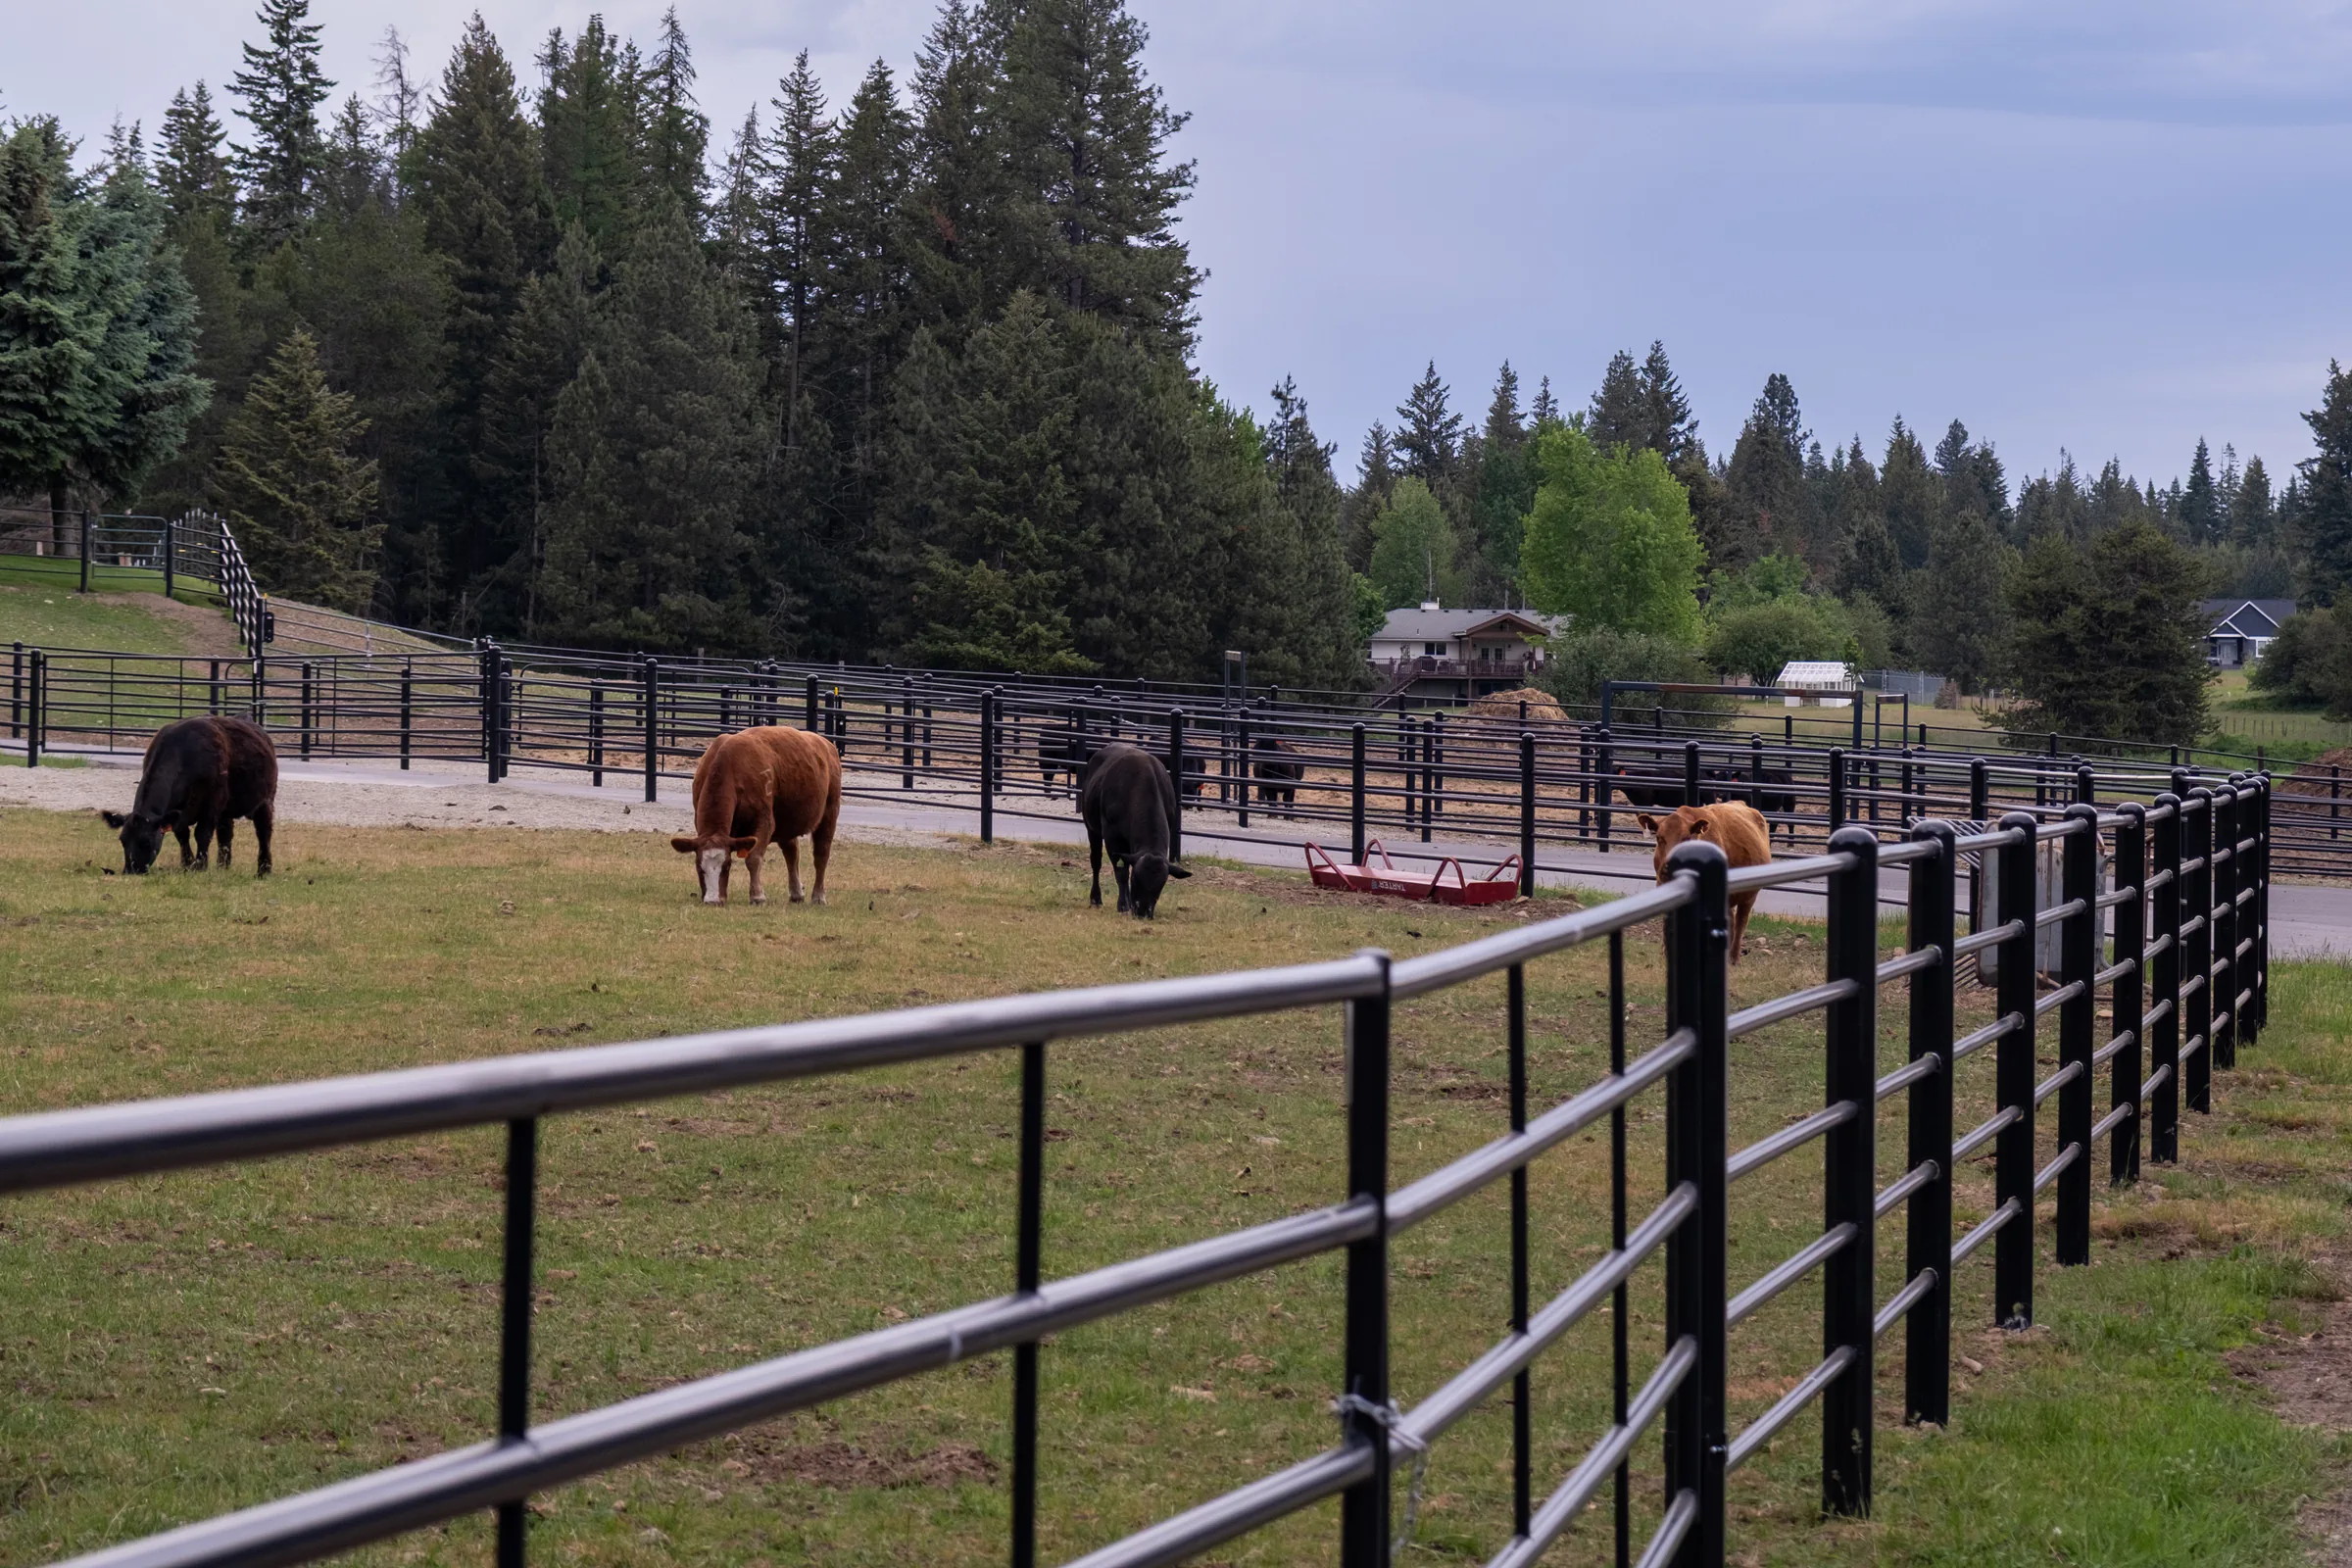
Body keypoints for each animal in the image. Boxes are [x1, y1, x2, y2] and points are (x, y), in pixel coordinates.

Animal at [101, 716, 278, 877]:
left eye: (146, 842)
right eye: (123, 840)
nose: (130, 871)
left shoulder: (211, 805)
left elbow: (202, 834)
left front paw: (200, 866)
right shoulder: (177, 812)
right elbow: (182, 834)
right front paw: (187, 864)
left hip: (265, 801)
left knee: (264, 833)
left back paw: (264, 870)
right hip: (226, 810)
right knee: (225, 834)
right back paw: (222, 867)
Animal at [671, 725, 842, 907]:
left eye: (727, 865)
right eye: (698, 867)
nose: (713, 901)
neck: (730, 766)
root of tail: (826, 744)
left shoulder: (764, 823)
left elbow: (753, 859)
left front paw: (757, 896)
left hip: (830, 813)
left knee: (821, 855)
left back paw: (818, 896)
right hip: (787, 821)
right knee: (791, 853)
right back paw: (796, 893)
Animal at [1079, 742, 1192, 919]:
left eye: (1161, 886)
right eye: (1136, 879)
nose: (1143, 912)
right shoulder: (1113, 837)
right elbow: (1121, 872)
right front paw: (1123, 906)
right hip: (1092, 828)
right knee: (1096, 861)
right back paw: (1096, 899)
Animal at [1638, 802, 1771, 964]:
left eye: (1686, 838)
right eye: (1659, 837)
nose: (1669, 866)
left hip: (1749, 896)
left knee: (1740, 922)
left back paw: (1733, 958)